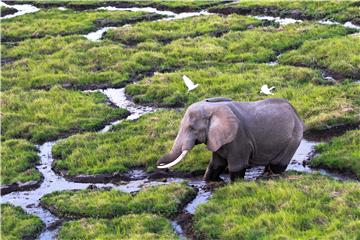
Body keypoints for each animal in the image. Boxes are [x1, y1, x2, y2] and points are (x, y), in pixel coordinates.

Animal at [157, 96, 304, 181]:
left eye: (192, 128)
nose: (161, 167)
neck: (212, 110)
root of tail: (295, 112)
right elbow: (216, 164)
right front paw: (209, 181)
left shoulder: (239, 139)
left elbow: (237, 166)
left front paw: (236, 185)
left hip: (293, 138)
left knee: (277, 165)